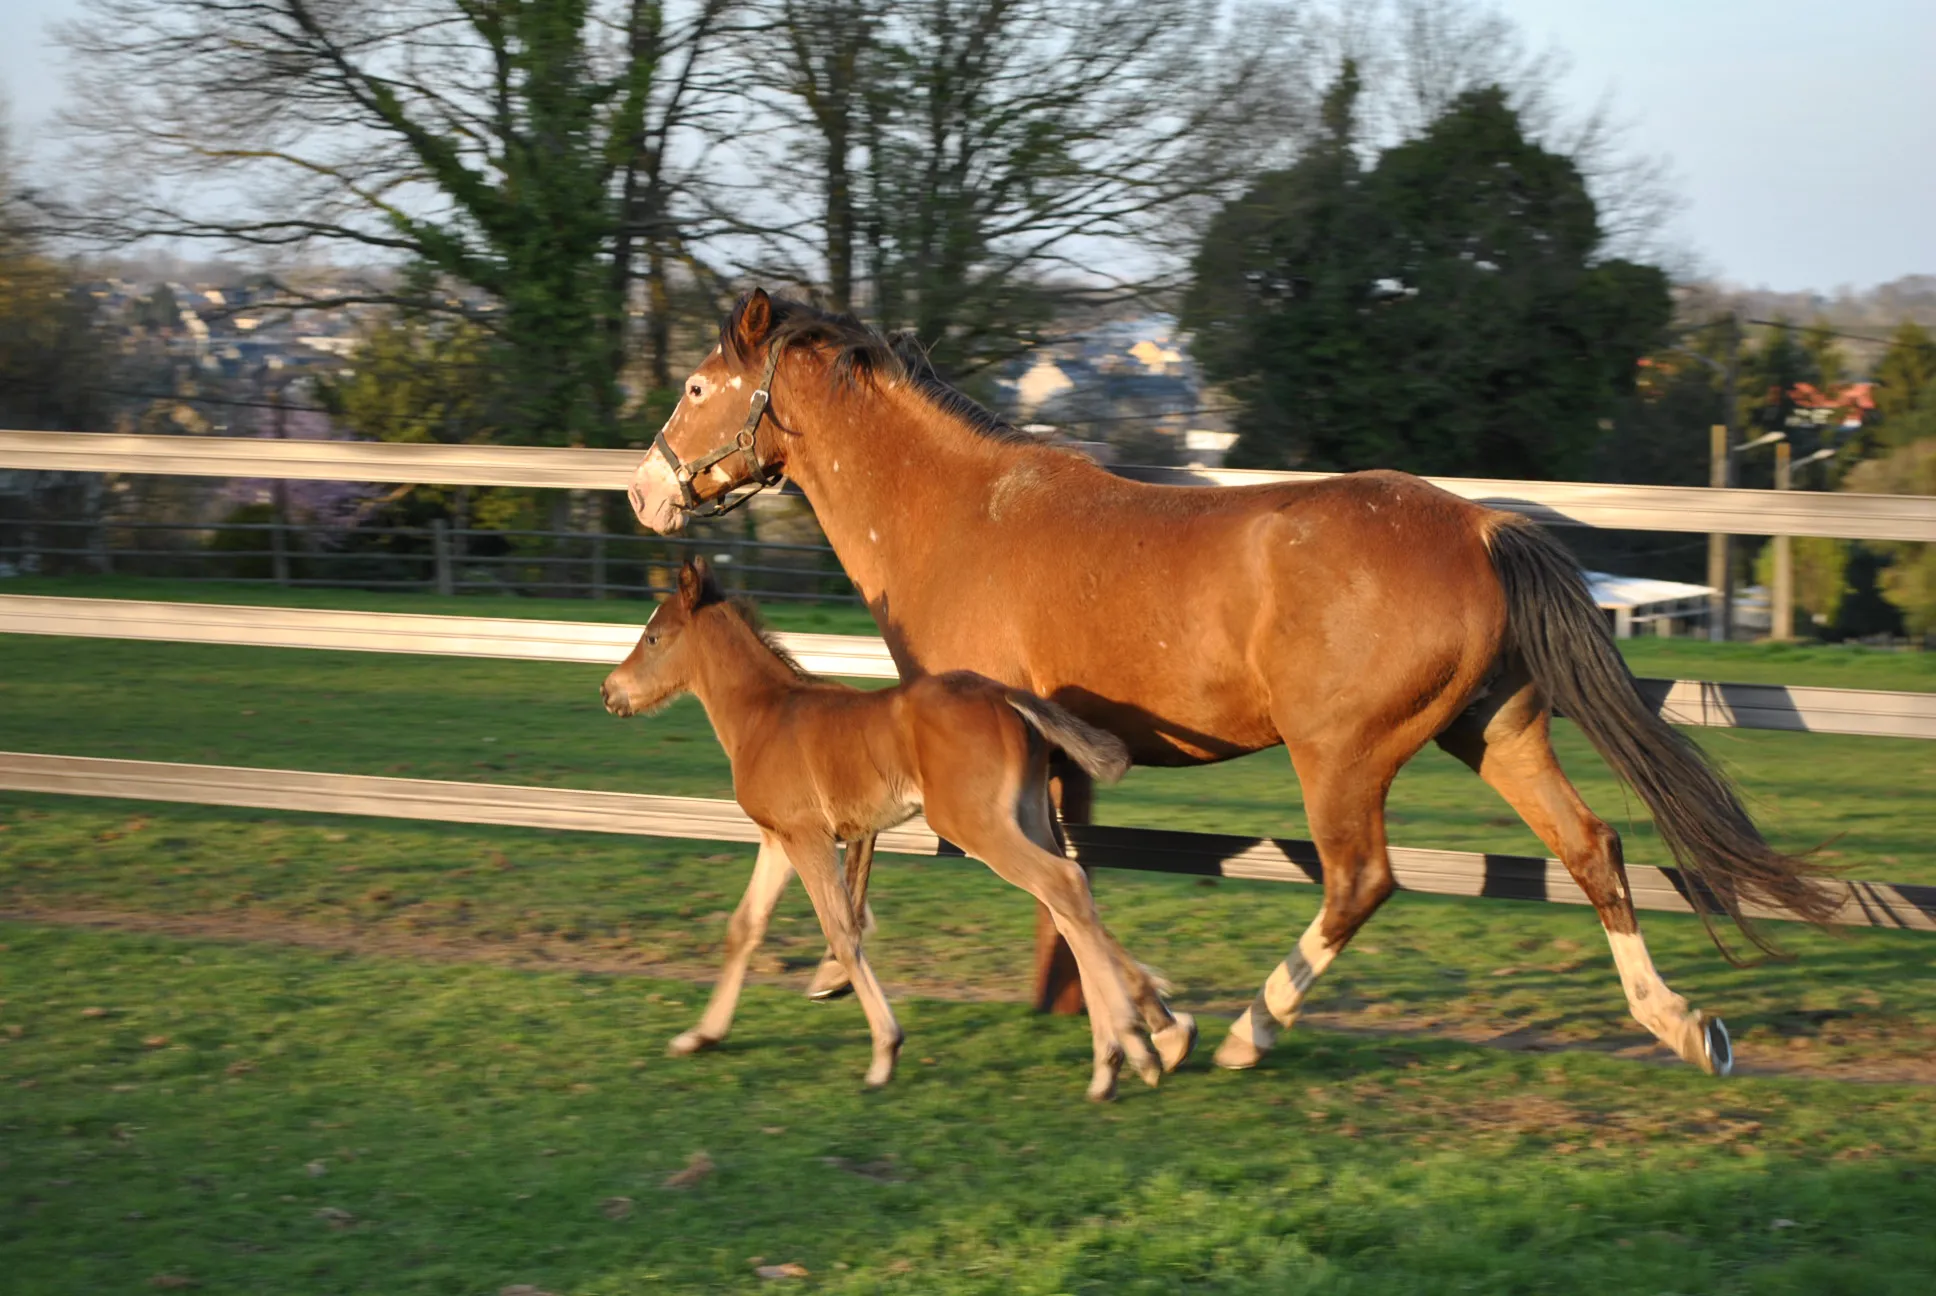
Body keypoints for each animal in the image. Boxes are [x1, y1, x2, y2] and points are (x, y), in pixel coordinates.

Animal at [601, 557, 1199, 1100]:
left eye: (652, 637)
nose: (610, 691)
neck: (766, 713)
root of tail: (1008, 696)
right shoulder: (777, 837)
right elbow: (744, 926)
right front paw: (701, 1036)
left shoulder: (808, 837)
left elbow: (842, 932)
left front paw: (885, 1052)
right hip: (1027, 817)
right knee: (1068, 902)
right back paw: (1116, 1058)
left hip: (972, 823)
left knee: (1063, 886)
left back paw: (1134, 1048)